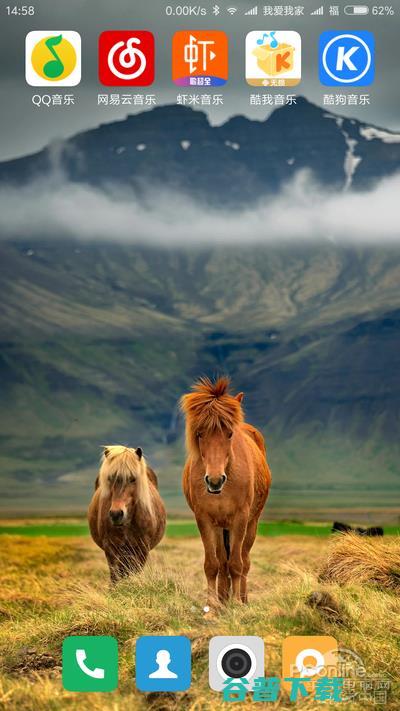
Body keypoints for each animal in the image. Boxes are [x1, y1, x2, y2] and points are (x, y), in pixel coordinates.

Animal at [88, 444, 166, 584]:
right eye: (109, 478)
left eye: (133, 479)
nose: (116, 514)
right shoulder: (111, 549)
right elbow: (115, 577)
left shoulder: (141, 550)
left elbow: (134, 572)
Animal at [181, 382, 272, 608]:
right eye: (199, 433)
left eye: (229, 434)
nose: (215, 481)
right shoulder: (204, 519)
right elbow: (213, 564)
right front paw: (212, 605)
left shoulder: (240, 518)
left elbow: (237, 564)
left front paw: (237, 603)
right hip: (220, 527)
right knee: (222, 561)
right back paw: (223, 599)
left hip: (251, 523)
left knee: (244, 560)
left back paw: (242, 599)